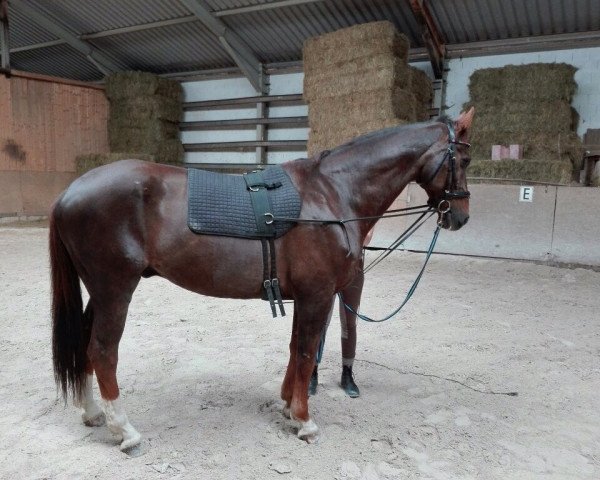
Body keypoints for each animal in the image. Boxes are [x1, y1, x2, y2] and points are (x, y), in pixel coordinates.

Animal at [50, 108, 474, 450]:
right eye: (466, 158)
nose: (461, 217)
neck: (331, 194)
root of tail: (69, 193)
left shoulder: (306, 296)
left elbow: (295, 348)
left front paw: (287, 406)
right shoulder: (318, 295)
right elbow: (306, 352)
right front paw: (304, 421)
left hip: (99, 293)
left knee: (85, 346)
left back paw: (93, 413)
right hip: (115, 291)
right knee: (102, 351)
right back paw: (125, 432)